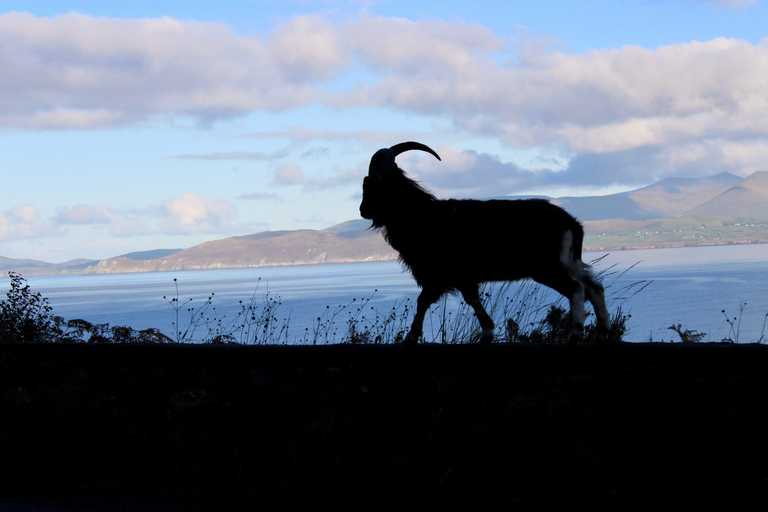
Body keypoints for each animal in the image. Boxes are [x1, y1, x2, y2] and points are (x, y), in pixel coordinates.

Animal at [359, 141, 609, 344]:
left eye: (370, 184)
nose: (362, 210)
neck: (421, 215)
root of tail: (572, 224)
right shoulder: (463, 277)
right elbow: (472, 300)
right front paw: (488, 331)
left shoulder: (439, 275)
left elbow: (423, 301)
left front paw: (411, 337)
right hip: (568, 262)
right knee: (593, 286)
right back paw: (603, 331)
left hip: (547, 267)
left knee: (576, 288)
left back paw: (575, 333)